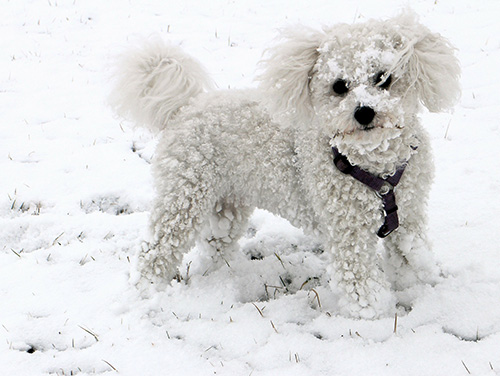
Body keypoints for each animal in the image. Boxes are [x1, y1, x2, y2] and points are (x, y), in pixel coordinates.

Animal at [110, 15, 460, 320]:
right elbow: (360, 281)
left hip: (227, 204)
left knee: (214, 247)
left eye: (383, 78)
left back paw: (219, 279)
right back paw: (146, 291)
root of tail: (187, 106)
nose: (364, 112)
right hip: (183, 198)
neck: (375, 167)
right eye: (339, 86)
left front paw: (418, 287)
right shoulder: (348, 232)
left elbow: (410, 257)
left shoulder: (409, 217)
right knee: (155, 250)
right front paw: (374, 315)